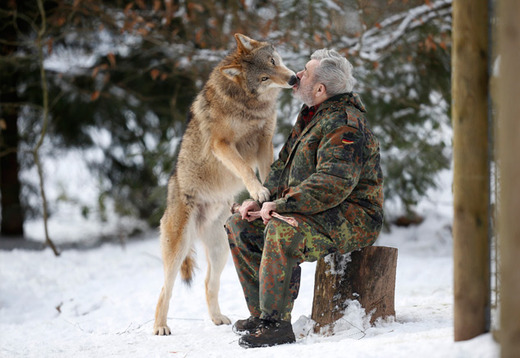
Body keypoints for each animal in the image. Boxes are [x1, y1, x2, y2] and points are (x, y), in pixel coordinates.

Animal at [152, 33, 296, 336]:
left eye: (273, 61)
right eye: (264, 77)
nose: (292, 79)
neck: (248, 105)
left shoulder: (264, 140)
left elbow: (267, 169)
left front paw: (269, 195)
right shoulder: (222, 144)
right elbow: (245, 168)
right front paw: (258, 190)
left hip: (220, 251)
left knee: (209, 283)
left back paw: (218, 318)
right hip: (178, 248)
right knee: (165, 289)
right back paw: (160, 327)